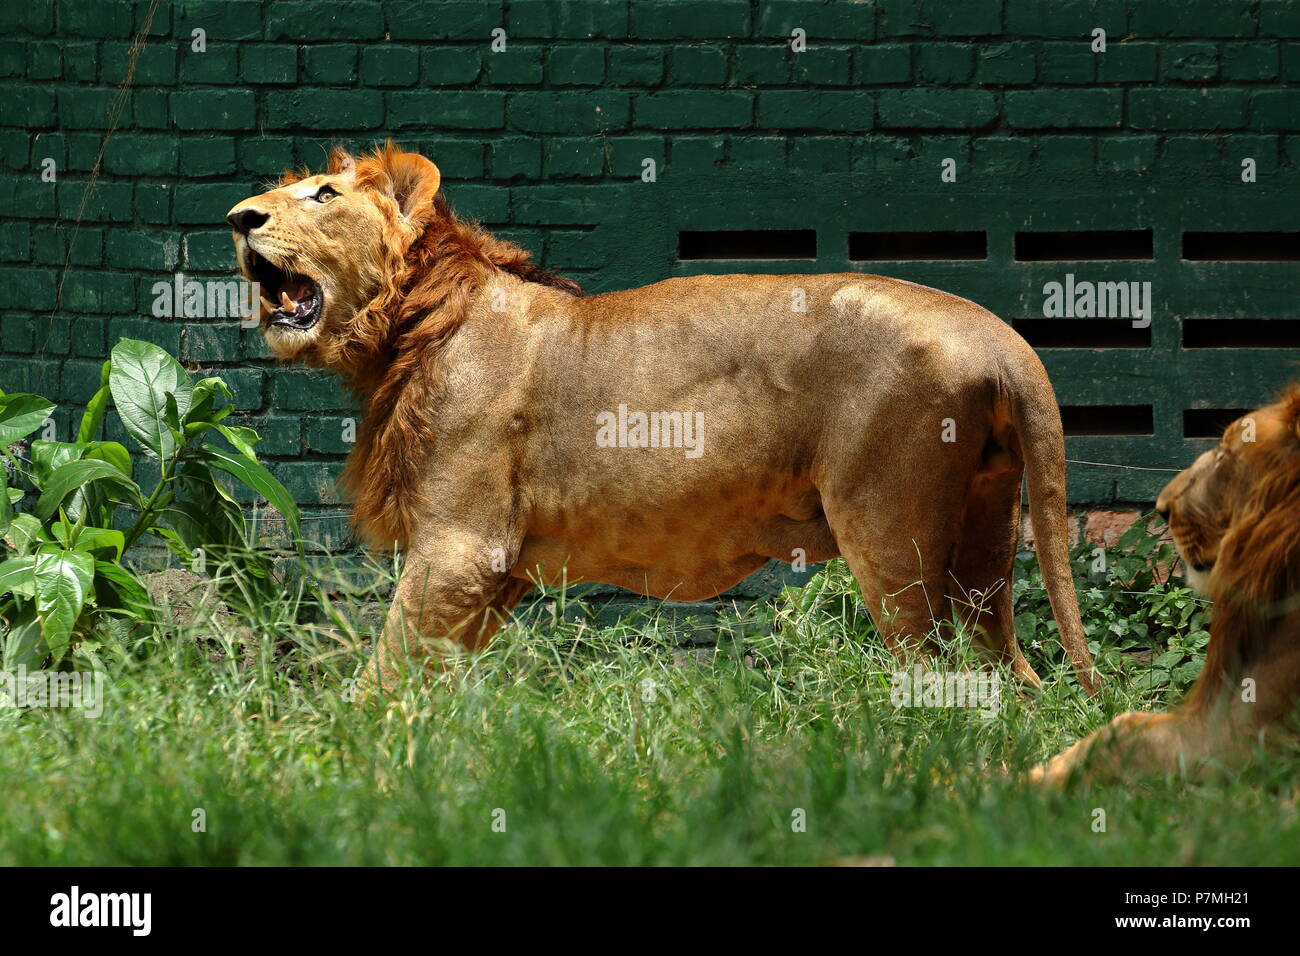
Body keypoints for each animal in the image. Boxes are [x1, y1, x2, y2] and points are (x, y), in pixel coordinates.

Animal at [226, 141, 1097, 691]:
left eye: (325, 196)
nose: (237, 218)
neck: (403, 329)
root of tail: (997, 333)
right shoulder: (496, 574)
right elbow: (432, 682)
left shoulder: (461, 547)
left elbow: (381, 677)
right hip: (984, 535)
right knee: (1011, 679)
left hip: (890, 533)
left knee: (940, 678)